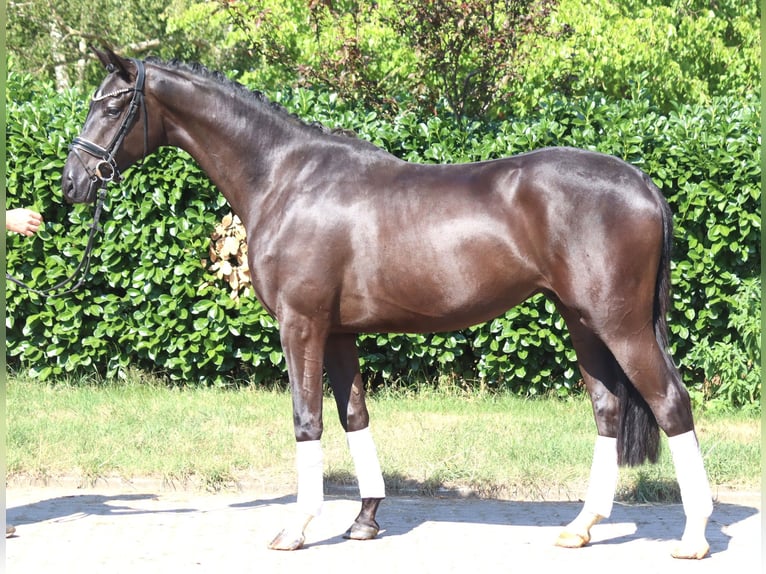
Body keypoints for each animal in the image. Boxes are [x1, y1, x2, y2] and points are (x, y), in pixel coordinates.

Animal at [62, 48, 713, 559]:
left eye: (114, 105)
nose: (73, 183)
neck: (285, 178)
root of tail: (642, 183)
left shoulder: (301, 326)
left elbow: (307, 419)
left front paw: (297, 528)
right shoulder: (339, 332)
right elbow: (355, 415)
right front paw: (365, 520)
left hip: (622, 326)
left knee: (671, 404)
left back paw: (694, 536)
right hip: (583, 323)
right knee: (608, 410)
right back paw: (581, 527)